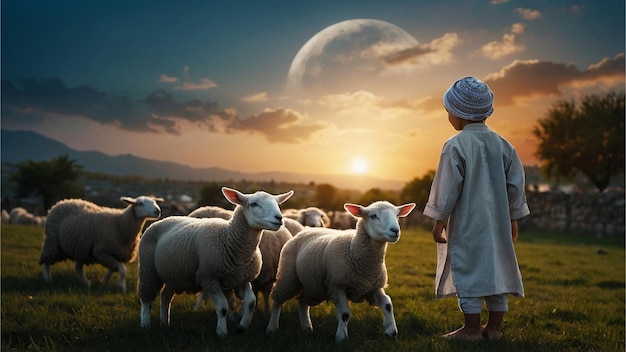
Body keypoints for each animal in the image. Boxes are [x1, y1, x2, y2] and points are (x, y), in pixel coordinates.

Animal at [136, 187, 292, 338]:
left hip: (175, 275)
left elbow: (251, 302)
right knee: (146, 299)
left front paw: (241, 327)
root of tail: (165, 219)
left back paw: (164, 323)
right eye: (254, 204)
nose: (279, 218)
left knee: (165, 297)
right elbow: (223, 307)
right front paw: (222, 332)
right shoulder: (209, 278)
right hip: (148, 269)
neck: (229, 239)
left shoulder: (241, 280)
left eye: (277, 204)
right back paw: (145, 324)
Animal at [264, 201, 414, 340]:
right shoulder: (337, 286)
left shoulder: (373, 287)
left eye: (397, 215)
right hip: (288, 277)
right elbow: (345, 314)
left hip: (313, 286)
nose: (395, 230)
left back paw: (306, 327)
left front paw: (391, 331)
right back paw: (272, 328)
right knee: (277, 301)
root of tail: (306, 229)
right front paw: (341, 337)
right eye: (373, 216)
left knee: (302, 302)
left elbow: (388, 305)